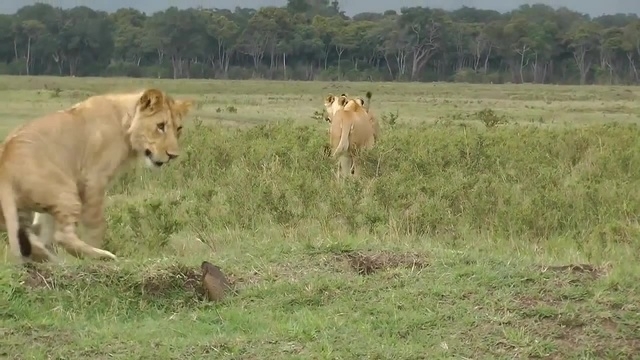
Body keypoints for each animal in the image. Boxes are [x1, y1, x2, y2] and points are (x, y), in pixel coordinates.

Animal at [1, 87, 192, 262]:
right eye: (160, 126)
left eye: (179, 128)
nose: (173, 155)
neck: (125, 123)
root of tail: (5, 164)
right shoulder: (94, 179)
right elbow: (96, 224)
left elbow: (44, 225)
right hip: (65, 192)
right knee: (62, 236)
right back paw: (102, 256)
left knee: (29, 235)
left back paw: (50, 259)